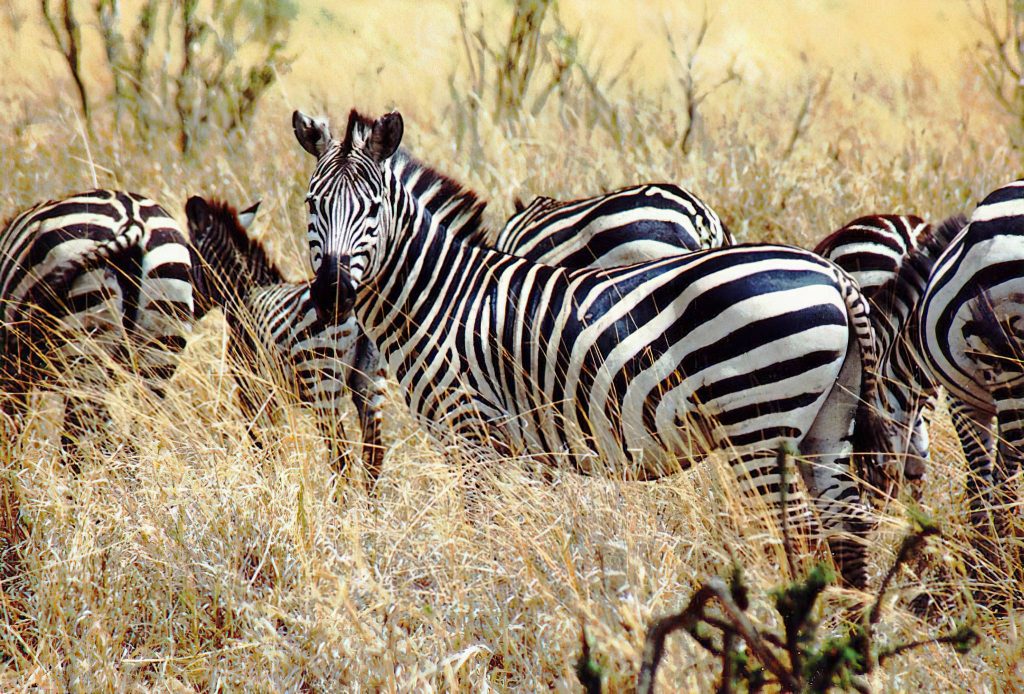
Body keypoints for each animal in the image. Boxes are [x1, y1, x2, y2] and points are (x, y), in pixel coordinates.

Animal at [185, 195, 387, 483]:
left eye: (186, 260)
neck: (244, 295)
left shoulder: (252, 388)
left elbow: (264, 446)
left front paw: (268, 482)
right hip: (370, 383)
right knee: (373, 458)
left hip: (322, 382)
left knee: (341, 459)